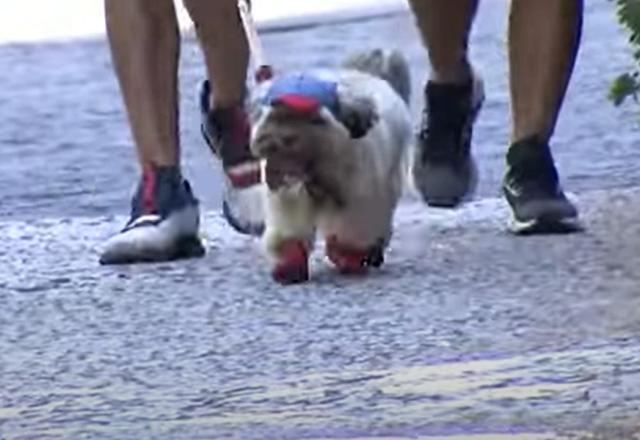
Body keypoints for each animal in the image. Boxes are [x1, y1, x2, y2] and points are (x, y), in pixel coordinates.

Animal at [248, 49, 412, 284]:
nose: (274, 141)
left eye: (315, 120)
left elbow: (354, 229)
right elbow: (290, 228)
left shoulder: (361, 194)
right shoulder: (289, 193)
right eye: (271, 115)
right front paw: (290, 265)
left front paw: (347, 256)